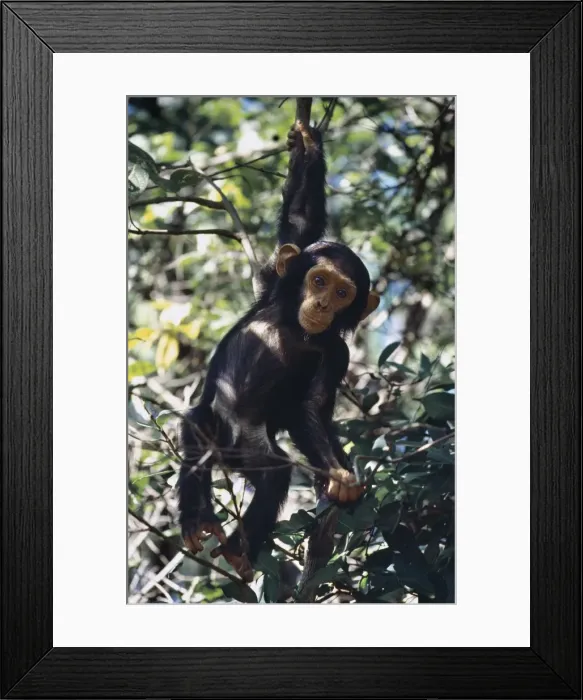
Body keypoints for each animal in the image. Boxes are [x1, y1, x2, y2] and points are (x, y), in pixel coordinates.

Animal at [177, 119, 380, 584]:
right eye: (319, 281)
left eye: (342, 293)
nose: (322, 305)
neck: (294, 325)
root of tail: (229, 453)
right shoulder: (274, 280)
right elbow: (299, 226)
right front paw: (307, 144)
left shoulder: (337, 354)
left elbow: (311, 407)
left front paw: (339, 476)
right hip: (214, 426)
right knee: (196, 431)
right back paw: (198, 519)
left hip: (253, 449)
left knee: (274, 476)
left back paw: (239, 551)